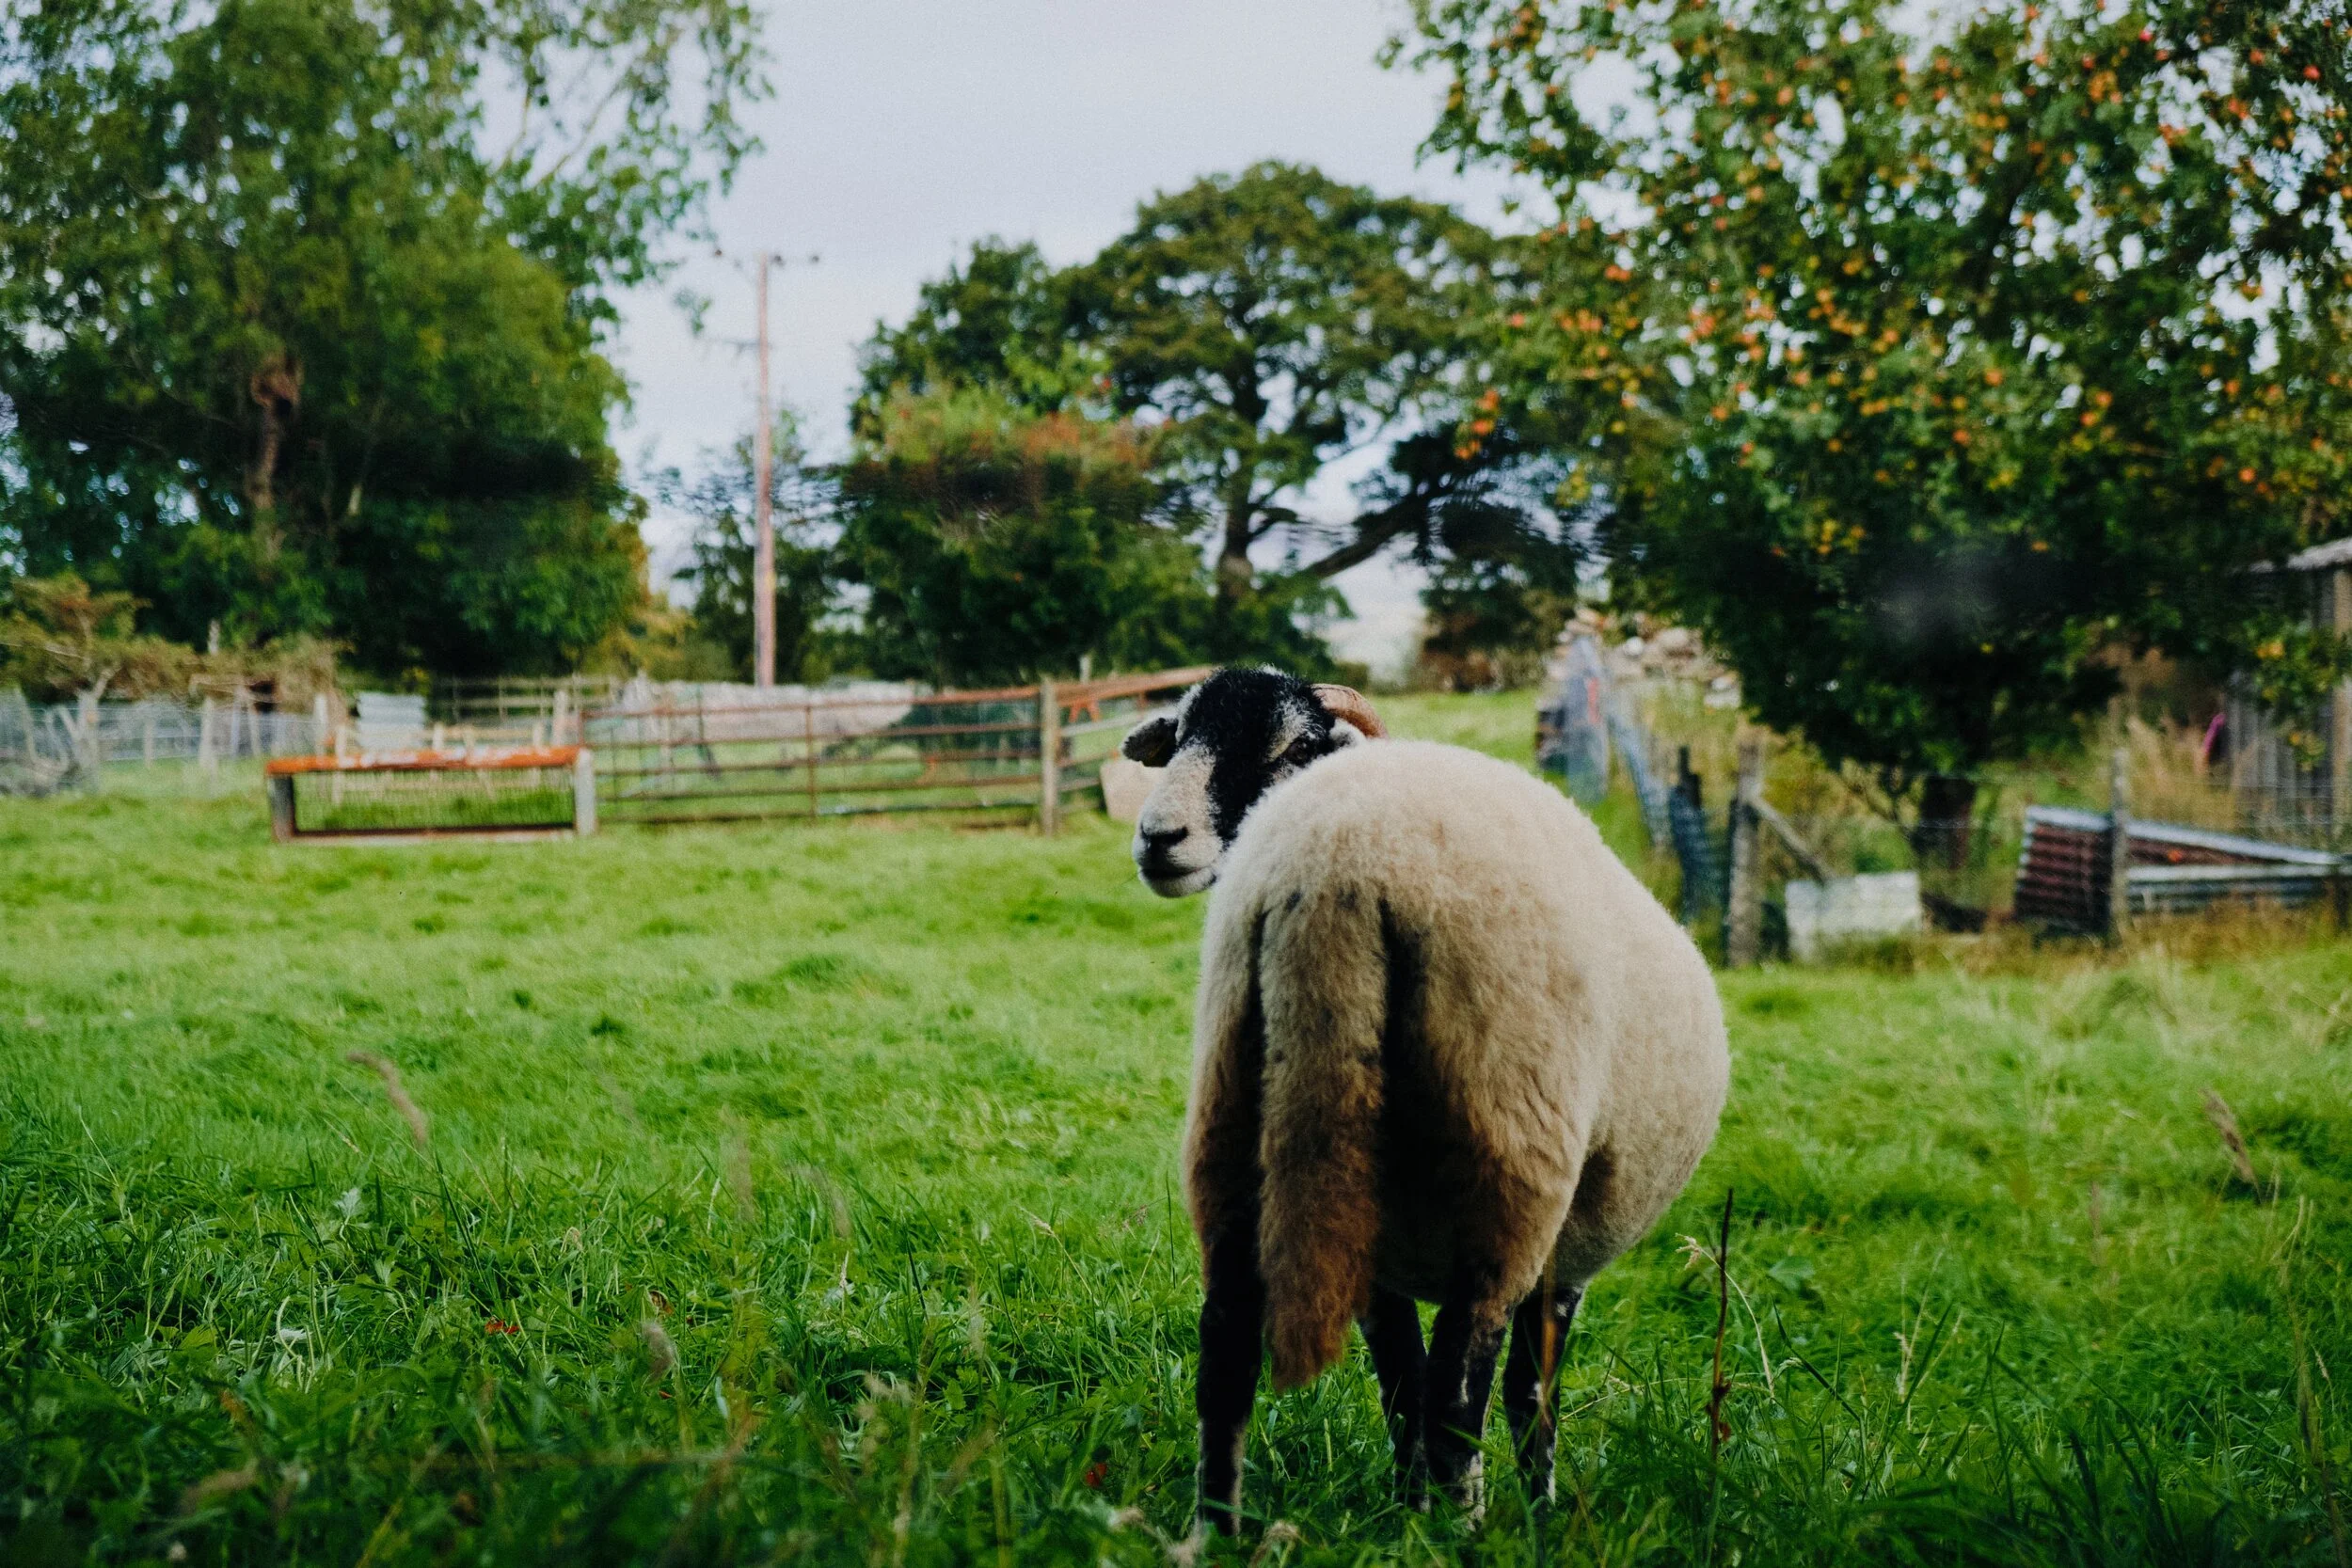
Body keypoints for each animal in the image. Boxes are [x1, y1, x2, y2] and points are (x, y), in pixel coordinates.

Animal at [1121, 666, 1730, 1533]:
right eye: (1178, 739)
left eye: (1293, 745)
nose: (1158, 836)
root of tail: (1333, 874)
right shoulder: (1560, 1255)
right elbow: (1526, 1396)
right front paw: (1534, 1516)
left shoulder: (1383, 1263)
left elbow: (1399, 1380)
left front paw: (1411, 1509)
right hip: (1509, 1162)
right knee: (1459, 1395)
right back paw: (1460, 1531)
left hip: (1235, 1120)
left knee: (1229, 1356)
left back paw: (1219, 1532)